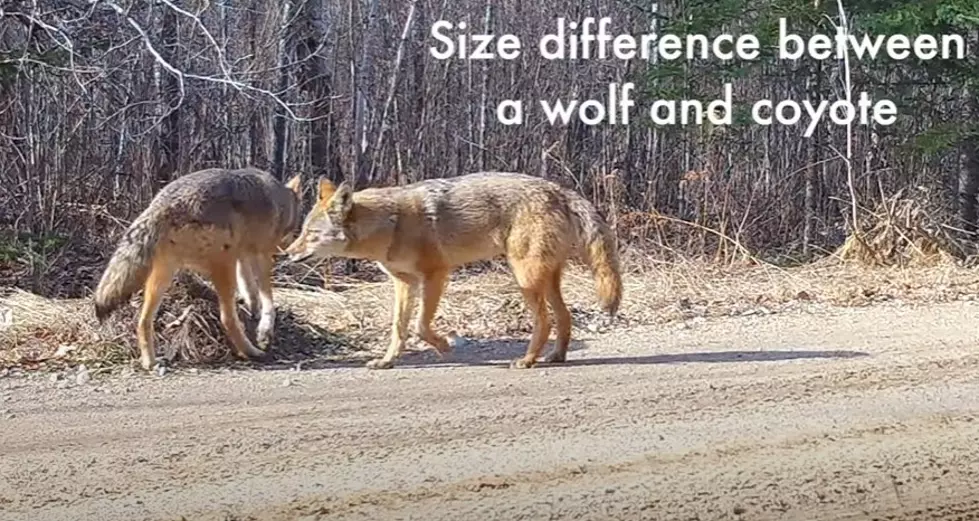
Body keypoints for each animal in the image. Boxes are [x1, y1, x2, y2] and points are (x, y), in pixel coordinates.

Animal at [93, 167, 303, 370]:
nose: (290, 250)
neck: (282, 200)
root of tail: (160, 207)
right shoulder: (262, 256)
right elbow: (267, 298)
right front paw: (265, 331)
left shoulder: (243, 256)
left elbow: (250, 290)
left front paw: (254, 312)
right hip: (224, 265)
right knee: (227, 318)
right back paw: (251, 352)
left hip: (164, 277)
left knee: (143, 322)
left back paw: (150, 362)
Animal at [284, 172, 622, 370]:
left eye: (311, 234)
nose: (286, 254)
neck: (391, 224)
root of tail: (559, 189)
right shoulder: (404, 283)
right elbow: (399, 328)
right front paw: (386, 361)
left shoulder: (436, 275)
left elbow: (421, 326)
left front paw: (444, 346)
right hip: (544, 280)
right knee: (564, 318)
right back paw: (555, 357)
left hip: (525, 279)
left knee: (546, 321)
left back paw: (527, 360)